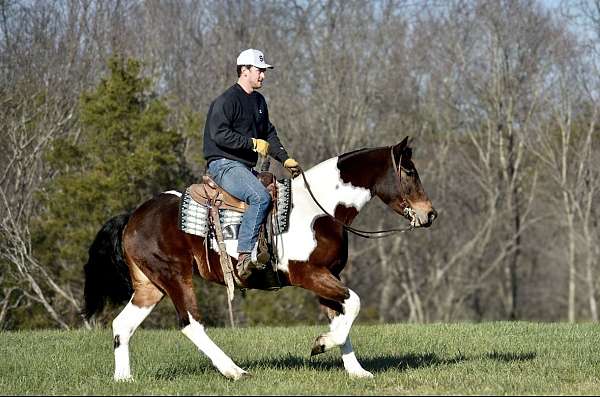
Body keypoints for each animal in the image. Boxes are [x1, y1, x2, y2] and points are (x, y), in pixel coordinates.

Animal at [83, 135, 436, 380]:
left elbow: (343, 315)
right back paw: (234, 371)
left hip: (150, 286)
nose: (430, 214)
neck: (319, 210)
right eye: (409, 171)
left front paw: (356, 370)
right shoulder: (309, 275)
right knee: (190, 324)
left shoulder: (328, 276)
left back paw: (124, 379)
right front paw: (321, 344)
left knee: (122, 324)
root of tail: (133, 216)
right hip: (174, 277)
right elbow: (354, 305)